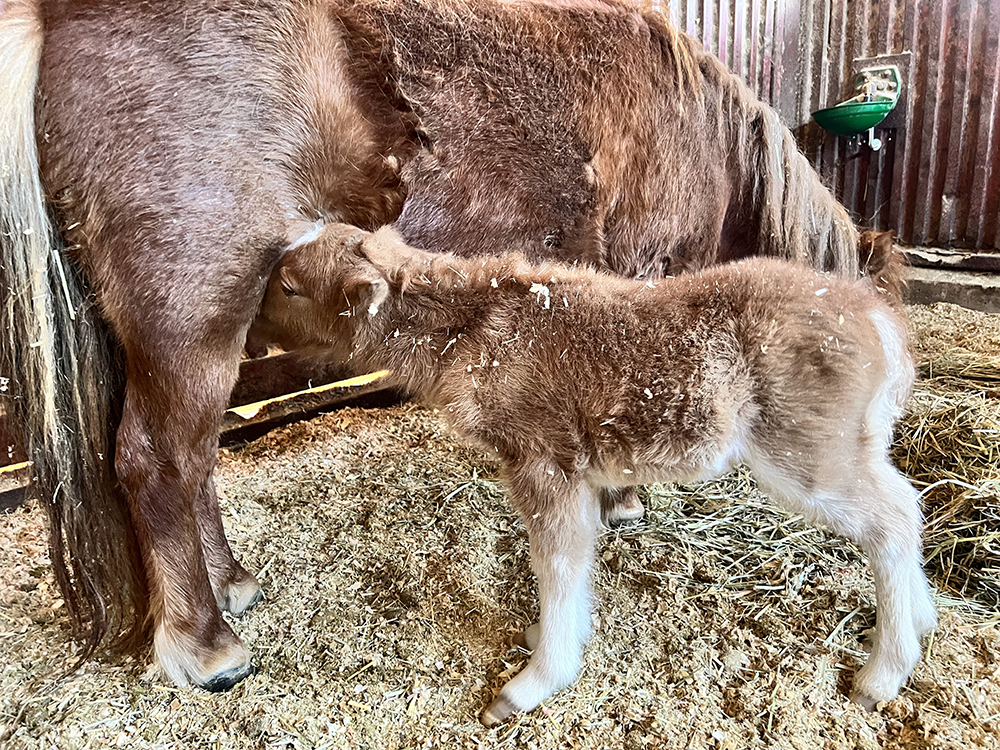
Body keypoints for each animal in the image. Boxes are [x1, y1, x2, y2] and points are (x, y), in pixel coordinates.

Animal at [1, 0, 860, 692]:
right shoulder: (640, 274)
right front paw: (623, 501)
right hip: (195, 317)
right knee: (159, 459)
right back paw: (206, 645)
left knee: (194, 459)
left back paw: (232, 585)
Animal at [252, 225, 936, 728]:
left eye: (288, 286)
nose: (249, 336)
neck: (466, 332)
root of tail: (880, 318)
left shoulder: (544, 463)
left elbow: (558, 562)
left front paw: (533, 683)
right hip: (849, 444)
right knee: (899, 503)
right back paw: (921, 621)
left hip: (805, 453)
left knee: (895, 516)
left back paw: (882, 672)